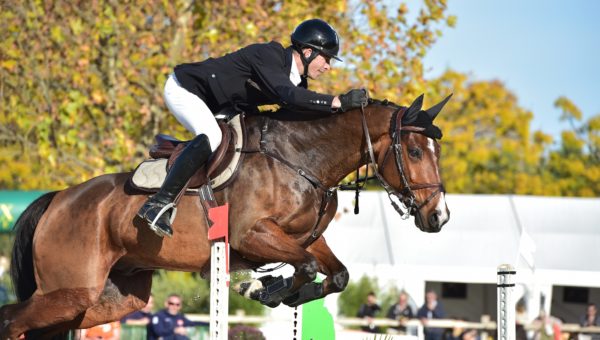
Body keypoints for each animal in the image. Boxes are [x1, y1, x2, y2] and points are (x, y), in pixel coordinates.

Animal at [0, 93, 450, 340]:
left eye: (437, 152)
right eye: (414, 151)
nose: (439, 218)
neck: (302, 159)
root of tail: (58, 199)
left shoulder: (305, 239)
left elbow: (336, 274)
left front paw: (274, 291)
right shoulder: (250, 236)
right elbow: (304, 266)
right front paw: (263, 290)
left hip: (110, 299)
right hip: (69, 291)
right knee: (11, 320)